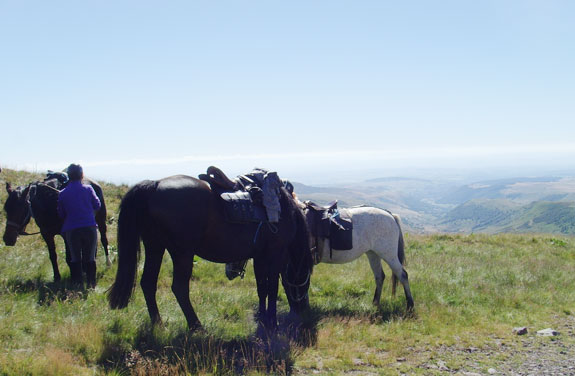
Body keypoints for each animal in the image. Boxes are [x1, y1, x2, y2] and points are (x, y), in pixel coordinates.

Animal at [109, 174, 312, 328]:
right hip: (182, 253)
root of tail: (155, 184)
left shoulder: (259, 256)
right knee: (179, 288)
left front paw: (263, 317)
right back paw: (196, 325)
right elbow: (273, 287)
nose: (303, 311)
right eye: (306, 280)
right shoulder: (276, 254)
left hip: (155, 247)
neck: (286, 211)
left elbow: (262, 287)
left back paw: (158, 323)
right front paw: (272, 321)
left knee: (148, 283)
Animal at [226, 203, 414, 312]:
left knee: (402, 275)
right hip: (373, 253)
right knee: (379, 276)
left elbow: (294, 285)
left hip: (388, 253)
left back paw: (410, 305)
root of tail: (390, 214)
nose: (229, 273)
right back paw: (375, 303)